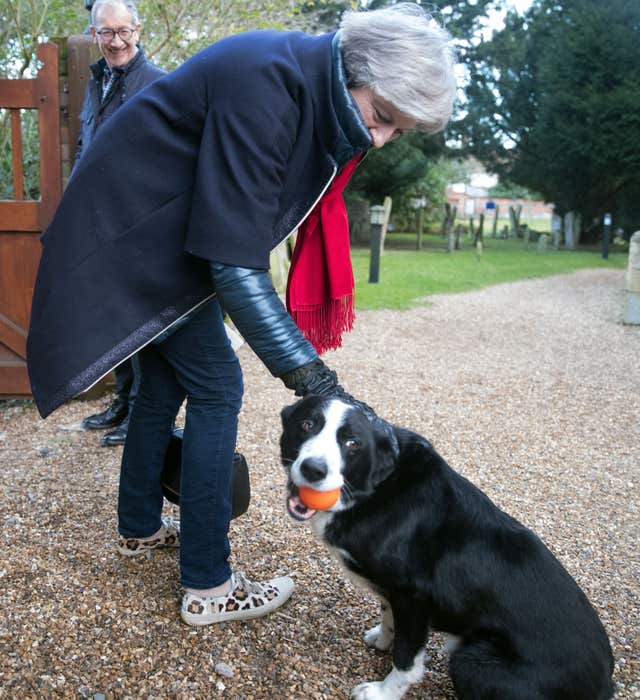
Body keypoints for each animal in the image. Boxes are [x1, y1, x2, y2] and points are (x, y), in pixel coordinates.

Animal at [282, 396, 616, 700]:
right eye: (307, 424)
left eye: (352, 443)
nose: (313, 469)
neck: (379, 486)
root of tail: (605, 685)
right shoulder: (392, 591)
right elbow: (390, 619)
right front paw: (382, 640)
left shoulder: (413, 597)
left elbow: (406, 659)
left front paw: (382, 692)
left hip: (473, 662)